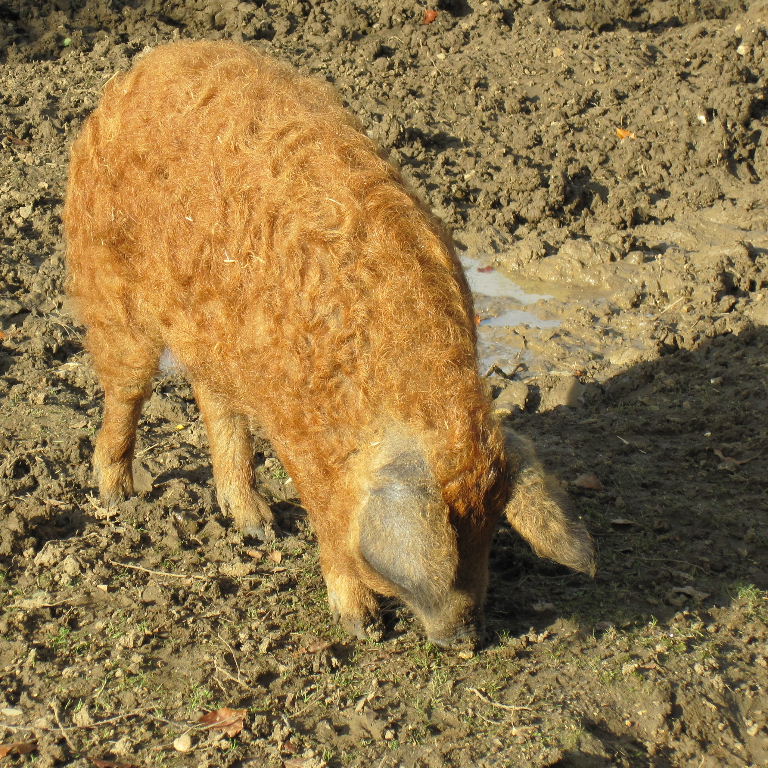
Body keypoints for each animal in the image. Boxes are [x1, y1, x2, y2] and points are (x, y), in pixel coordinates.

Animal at [64, 40, 594, 648]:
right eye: (451, 545)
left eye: (488, 534)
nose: (468, 638)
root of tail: (143, 66)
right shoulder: (303, 442)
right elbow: (329, 525)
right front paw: (362, 625)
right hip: (108, 282)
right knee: (125, 391)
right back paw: (116, 496)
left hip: (210, 334)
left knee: (216, 404)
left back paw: (258, 525)